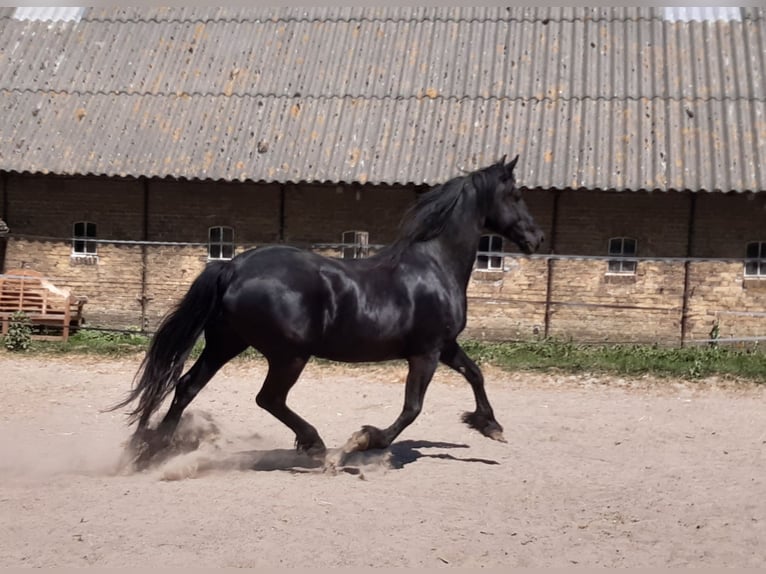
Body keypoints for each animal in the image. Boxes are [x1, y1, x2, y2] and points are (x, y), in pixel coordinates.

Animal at [111, 155, 544, 467]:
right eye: (515, 195)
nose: (537, 238)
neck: (435, 265)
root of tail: (232, 267)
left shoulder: (446, 346)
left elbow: (475, 373)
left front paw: (489, 425)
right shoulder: (426, 352)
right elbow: (412, 408)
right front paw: (363, 441)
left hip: (226, 344)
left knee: (187, 385)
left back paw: (151, 449)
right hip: (288, 355)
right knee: (268, 398)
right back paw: (316, 445)